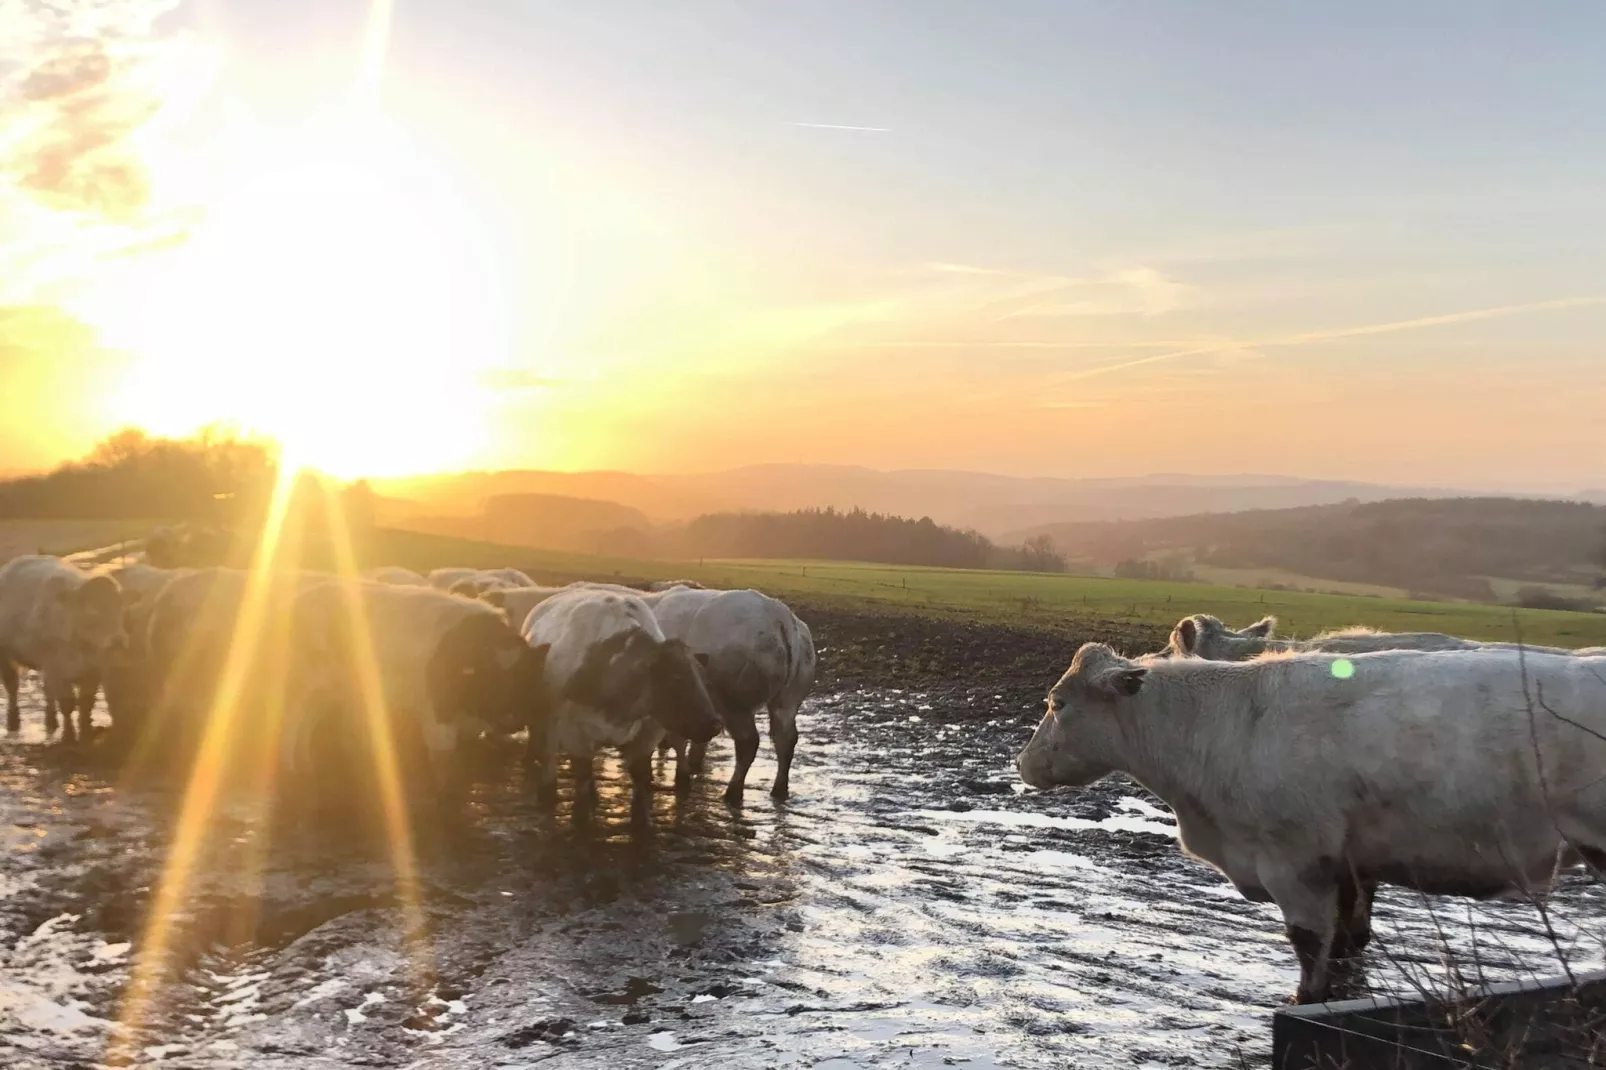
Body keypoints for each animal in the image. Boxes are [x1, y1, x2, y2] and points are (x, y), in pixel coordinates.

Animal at [0, 552, 130, 739]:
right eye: (93, 610)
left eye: (121, 608)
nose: (118, 640)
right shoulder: (56, 667)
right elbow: (68, 703)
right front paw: (69, 734)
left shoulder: (94, 670)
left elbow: (86, 702)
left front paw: (85, 729)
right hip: (6, 653)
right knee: (12, 685)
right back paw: (13, 722)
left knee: (47, 689)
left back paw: (51, 720)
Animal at [520, 588, 722, 819]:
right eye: (675, 678)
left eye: (705, 680)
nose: (714, 724)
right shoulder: (574, 735)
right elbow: (581, 784)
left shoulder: (648, 736)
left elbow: (640, 784)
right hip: (544, 722)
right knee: (547, 757)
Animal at [648, 584, 815, 800]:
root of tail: (777, 612)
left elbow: (679, 738)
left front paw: (682, 776)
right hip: (788, 700)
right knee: (785, 739)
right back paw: (779, 789)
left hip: (735, 703)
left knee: (748, 742)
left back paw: (733, 791)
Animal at [1014, 642, 1606, 1002]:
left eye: (1057, 703)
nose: (1022, 764)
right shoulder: (1346, 865)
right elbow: (1345, 939)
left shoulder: (1294, 862)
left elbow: (1307, 941)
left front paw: (1304, 999)